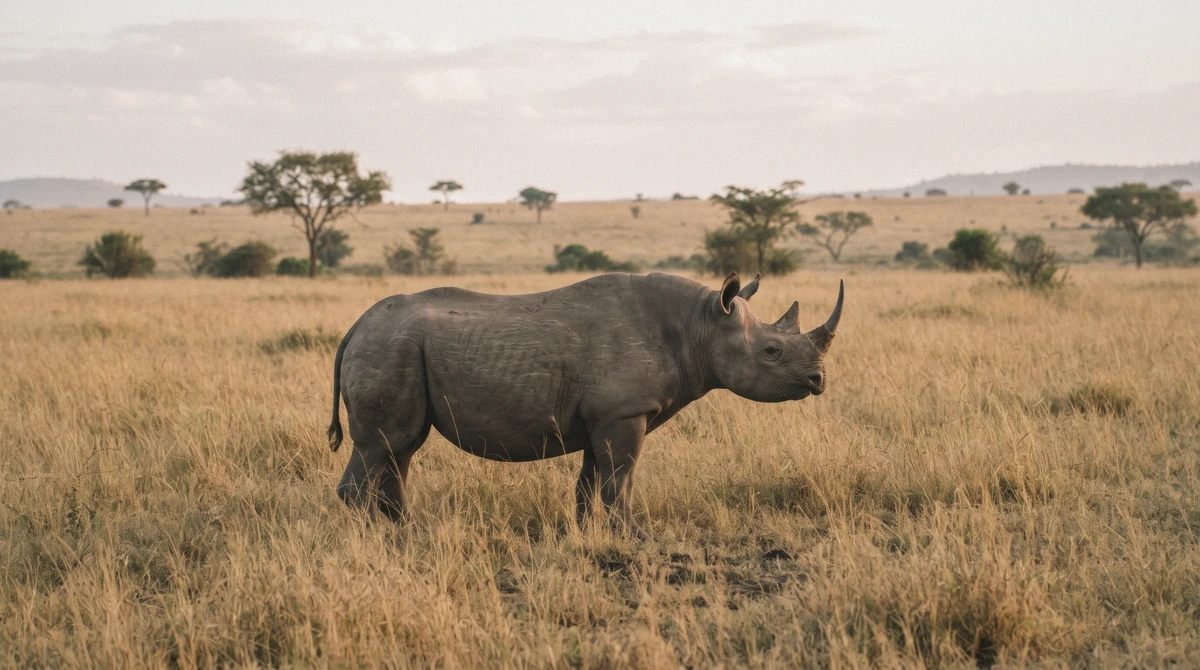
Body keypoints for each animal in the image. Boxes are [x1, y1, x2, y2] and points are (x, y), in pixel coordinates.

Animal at [327, 271, 842, 535]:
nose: (818, 381)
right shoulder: (625, 411)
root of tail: (353, 328)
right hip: (388, 347)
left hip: (396, 349)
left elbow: (592, 479)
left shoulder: (606, 414)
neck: (700, 325)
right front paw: (635, 536)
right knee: (382, 444)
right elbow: (620, 476)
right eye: (771, 352)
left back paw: (407, 532)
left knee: (400, 446)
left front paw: (583, 533)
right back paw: (374, 540)